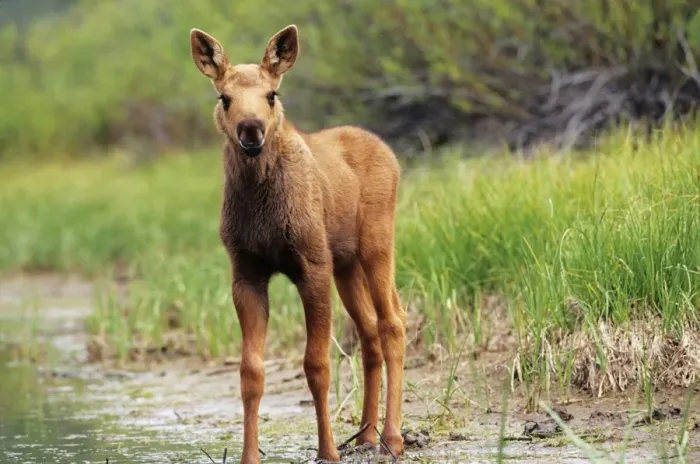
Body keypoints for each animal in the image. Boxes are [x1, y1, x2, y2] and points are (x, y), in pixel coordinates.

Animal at [189, 24, 407, 463]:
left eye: (272, 94)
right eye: (224, 97)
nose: (251, 128)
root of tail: (390, 155)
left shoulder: (312, 265)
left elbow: (316, 364)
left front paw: (327, 450)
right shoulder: (247, 273)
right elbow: (250, 371)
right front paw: (249, 456)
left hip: (376, 245)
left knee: (393, 322)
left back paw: (392, 437)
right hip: (346, 264)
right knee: (370, 332)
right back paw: (365, 434)